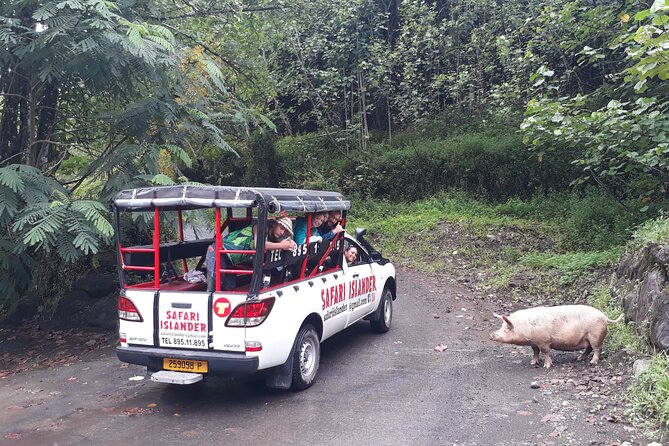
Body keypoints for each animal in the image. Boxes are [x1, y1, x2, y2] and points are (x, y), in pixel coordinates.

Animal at [488, 304, 624, 368]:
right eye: (501, 326)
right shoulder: (534, 343)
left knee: (597, 349)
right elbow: (535, 351)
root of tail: (604, 317)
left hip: (595, 335)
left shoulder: (544, 341)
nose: (491, 335)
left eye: (506, 329)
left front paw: (547, 366)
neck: (525, 327)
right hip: (587, 338)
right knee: (589, 348)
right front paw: (532, 363)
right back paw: (579, 358)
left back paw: (592, 362)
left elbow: (546, 352)